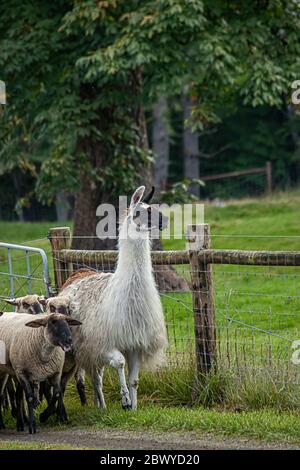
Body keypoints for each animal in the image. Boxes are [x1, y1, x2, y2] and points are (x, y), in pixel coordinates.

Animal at [60, 185, 169, 410]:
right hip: (84, 346)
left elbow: (134, 379)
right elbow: (119, 362)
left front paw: (133, 407)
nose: (164, 220)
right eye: (138, 212)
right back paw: (100, 406)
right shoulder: (103, 342)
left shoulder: (135, 342)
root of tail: (78, 273)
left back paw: (99, 405)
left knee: (96, 377)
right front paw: (125, 400)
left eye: (154, 208)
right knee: (95, 378)